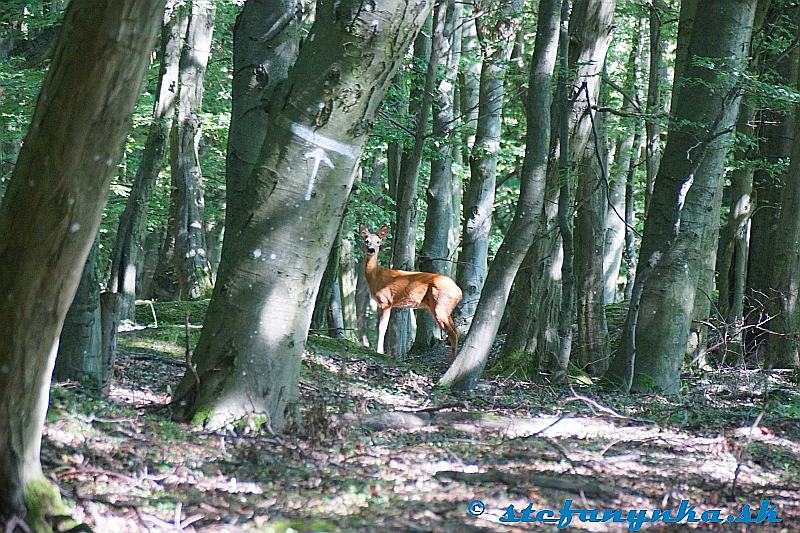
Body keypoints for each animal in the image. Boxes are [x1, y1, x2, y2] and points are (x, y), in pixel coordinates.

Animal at [358, 222, 462, 364]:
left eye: (378, 242)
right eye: (366, 240)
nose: (371, 250)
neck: (376, 276)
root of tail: (459, 292)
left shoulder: (386, 301)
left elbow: (382, 327)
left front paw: (380, 352)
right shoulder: (383, 303)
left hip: (440, 305)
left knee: (453, 333)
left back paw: (451, 362)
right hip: (445, 308)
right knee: (456, 331)